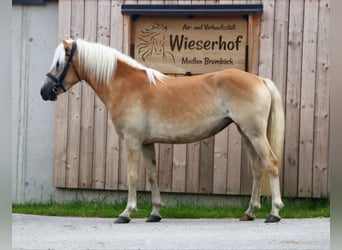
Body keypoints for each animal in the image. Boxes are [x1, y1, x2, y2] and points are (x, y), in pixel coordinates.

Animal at [41, 38, 284, 224]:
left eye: (60, 63)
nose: (45, 91)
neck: (125, 85)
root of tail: (260, 79)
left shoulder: (132, 141)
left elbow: (132, 175)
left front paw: (126, 213)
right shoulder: (147, 143)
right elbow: (152, 175)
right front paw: (155, 213)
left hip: (254, 133)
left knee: (270, 164)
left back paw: (274, 212)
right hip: (246, 133)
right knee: (256, 169)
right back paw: (249, 212)